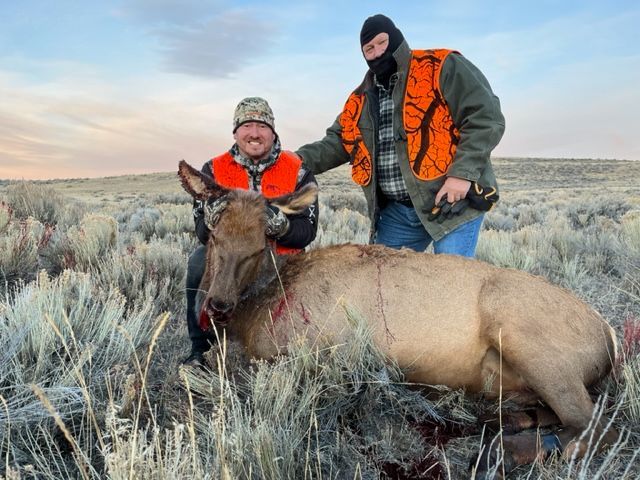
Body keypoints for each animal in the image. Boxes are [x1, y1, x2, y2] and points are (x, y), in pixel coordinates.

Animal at [177, 159, 618, 477]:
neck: (263, 305)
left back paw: (499, 453)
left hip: (529, 341)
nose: (216, 305)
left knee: (597, 425)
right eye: (213, 236)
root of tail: (610, 336)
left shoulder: (319, 358)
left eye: (259, 245)